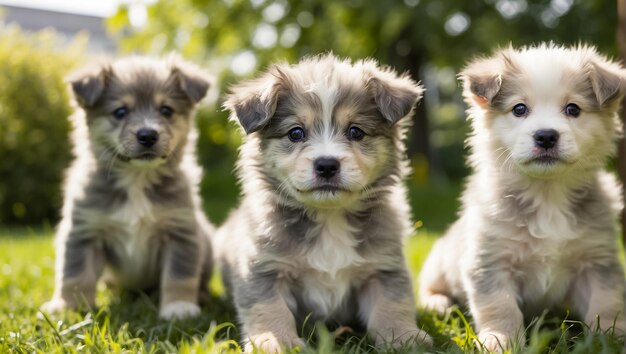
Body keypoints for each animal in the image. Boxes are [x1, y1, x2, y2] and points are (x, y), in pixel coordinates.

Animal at [42, 55, 212, 320]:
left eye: (166, 110)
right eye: (120, 111)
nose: (148, 135)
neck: (136, 179)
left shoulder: (181, 232)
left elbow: (179, 275)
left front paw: (179, 307)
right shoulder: (83, 232)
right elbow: (75, 274)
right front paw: (68, 307)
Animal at [217, 54, 432, 352]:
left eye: (356, 132)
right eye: (296, 133)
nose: (327, 165)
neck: (329, 218)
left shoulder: (383, 267)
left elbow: (392, 304)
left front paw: (403, 337)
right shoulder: (264, 269)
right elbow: (269, 308)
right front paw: (276, 341)